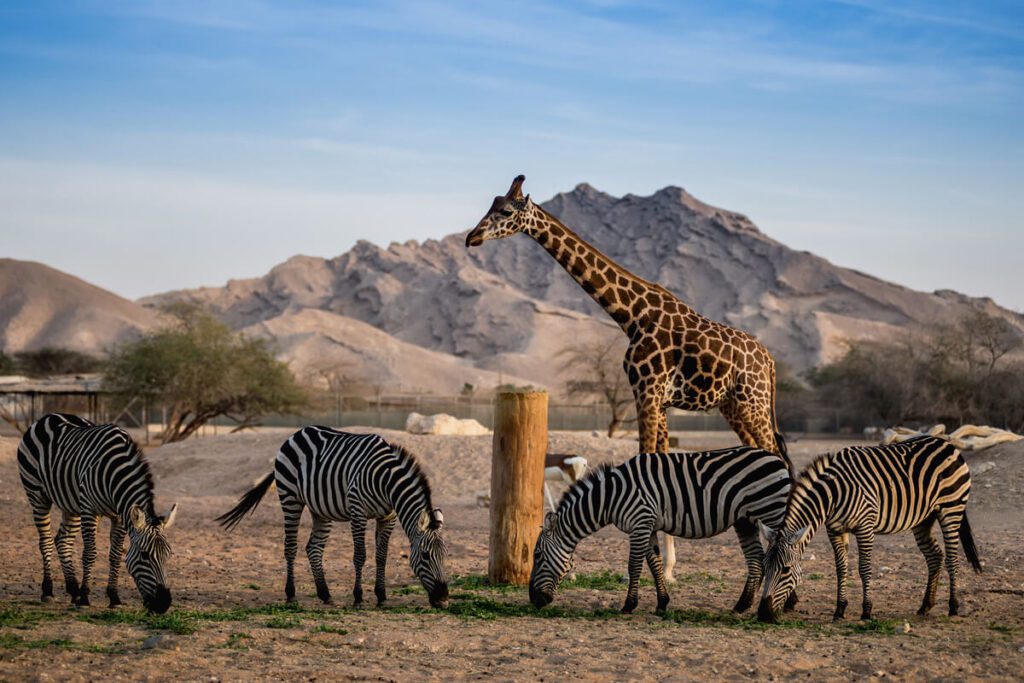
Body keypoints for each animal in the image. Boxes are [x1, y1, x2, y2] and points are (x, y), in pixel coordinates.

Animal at [17, 413, 178, 618]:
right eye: (144, 555)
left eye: (168, 555)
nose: (163, 605)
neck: (114, 474)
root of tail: (48, 416)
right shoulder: (89, 510)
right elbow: (90, 553)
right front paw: (85, 598)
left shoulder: (119, 516)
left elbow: (116, 555)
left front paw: (114, 598)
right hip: (37, 495)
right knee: (45, 541)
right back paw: (48, 591)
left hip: (71, 505)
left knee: (63, 540)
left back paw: (73, 590)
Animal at [216, 428, 448, 610]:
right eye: (425, 556)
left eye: (445, 556)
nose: (444, 599)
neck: (386, 481)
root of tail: (297, 433)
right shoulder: (358, 512)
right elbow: (360, 555)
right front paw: (358, 598)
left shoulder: (387, 517)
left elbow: (381, 556)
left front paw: (381, 596)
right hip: (290, 497)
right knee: (290, 546)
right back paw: (291, 595)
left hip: (321, 509)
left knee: (314, 548)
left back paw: (325, 594)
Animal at [466, 175, 790, 581]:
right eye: (491, 205)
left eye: (506, 211)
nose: (472, 237)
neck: (631, 315)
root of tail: (771, 362)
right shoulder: (658, 398)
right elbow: (660, 463)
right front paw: (667, 568)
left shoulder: (647, 390)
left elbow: (647, 462)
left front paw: (641, 570)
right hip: (733, 406)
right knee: (766, 454)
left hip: (752, 401)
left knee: (777, 453)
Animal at [528, 448, 790, 614]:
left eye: (537, 556)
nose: (532, 600)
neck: (611, 497)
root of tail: (777, 458)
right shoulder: (649, 526)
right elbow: (654, 565)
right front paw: (662, 603)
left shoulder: (640, 522)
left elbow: (634, 566)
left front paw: (628, 605)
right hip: (745, 520)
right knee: (756, 560)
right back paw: (742, 605)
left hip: (772, 511)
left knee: (787, 550)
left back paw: (788, 603)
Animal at [761, 436, 983, 622]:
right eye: (764, 567)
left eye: (786, 570)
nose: (763, 613)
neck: (833, 494)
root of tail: (946, 443)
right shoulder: (835, 530)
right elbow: (841, 568)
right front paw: (839, 609)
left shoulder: (865, 527)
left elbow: (864, 568)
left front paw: (866, 610)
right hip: (924, 519)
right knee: (935, 556)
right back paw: (925, 606)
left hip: (951, 509)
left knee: (952, 558)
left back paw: (953, 606)